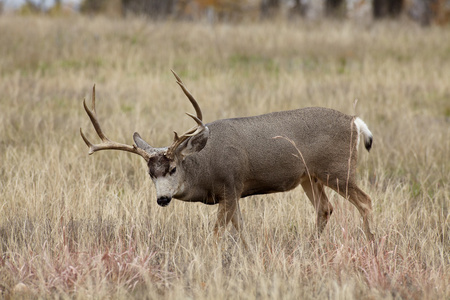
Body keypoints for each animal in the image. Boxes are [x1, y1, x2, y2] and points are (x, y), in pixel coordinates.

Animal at [81, 71, 376, 248]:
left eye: (173, 168)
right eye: (151, 173)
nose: (162, 199)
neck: (205, 168)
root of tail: (355, 122)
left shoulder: (231, 186)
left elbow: (216, 232)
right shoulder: (234, 193)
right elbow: (241, 229)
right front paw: (249, 253)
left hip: (338, 169)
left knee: (365, 201)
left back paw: (371, 244)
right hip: (309, 176)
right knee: (325, 208)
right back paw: (309, 247)